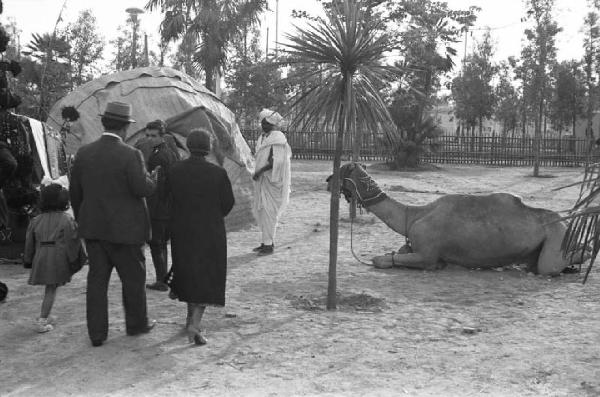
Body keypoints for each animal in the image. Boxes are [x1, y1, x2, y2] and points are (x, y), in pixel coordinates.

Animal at [328, 162, 584, 274]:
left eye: (342, 169)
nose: (328, 181)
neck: (412, 216)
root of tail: (566, 221)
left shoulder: (427, 253)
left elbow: (380, 260)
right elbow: (396, 252)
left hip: (556, 236)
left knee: (548, 266)